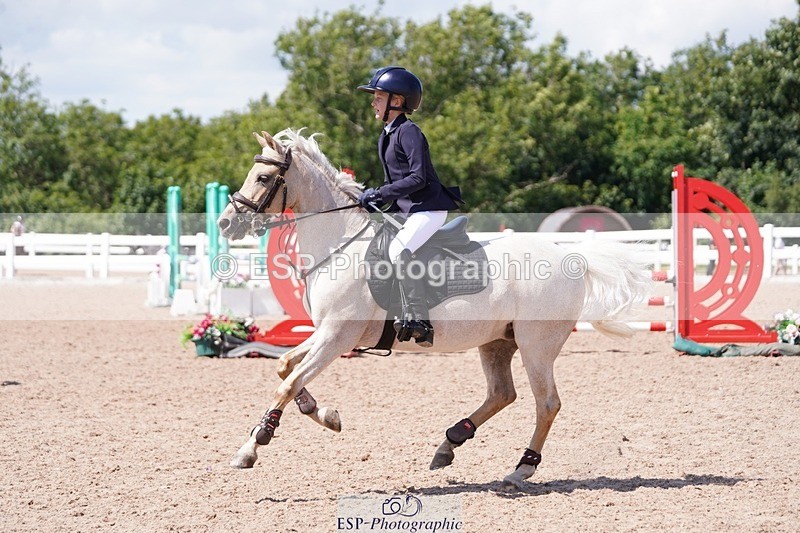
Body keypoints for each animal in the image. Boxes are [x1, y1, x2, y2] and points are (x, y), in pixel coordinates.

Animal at [217, 129, 651, 490]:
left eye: (262, 178)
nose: (225, 223)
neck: (339, 245)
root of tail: (573, 258)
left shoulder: (337, 336)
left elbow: (287, 382)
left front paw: (252, 446)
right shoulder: (327, 333)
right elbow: (285, 367)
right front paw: (324, 414)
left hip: (536, 346)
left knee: (546, 403)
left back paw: (520, 470)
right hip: (498, 341)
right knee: (502, 393)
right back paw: (449, 445)